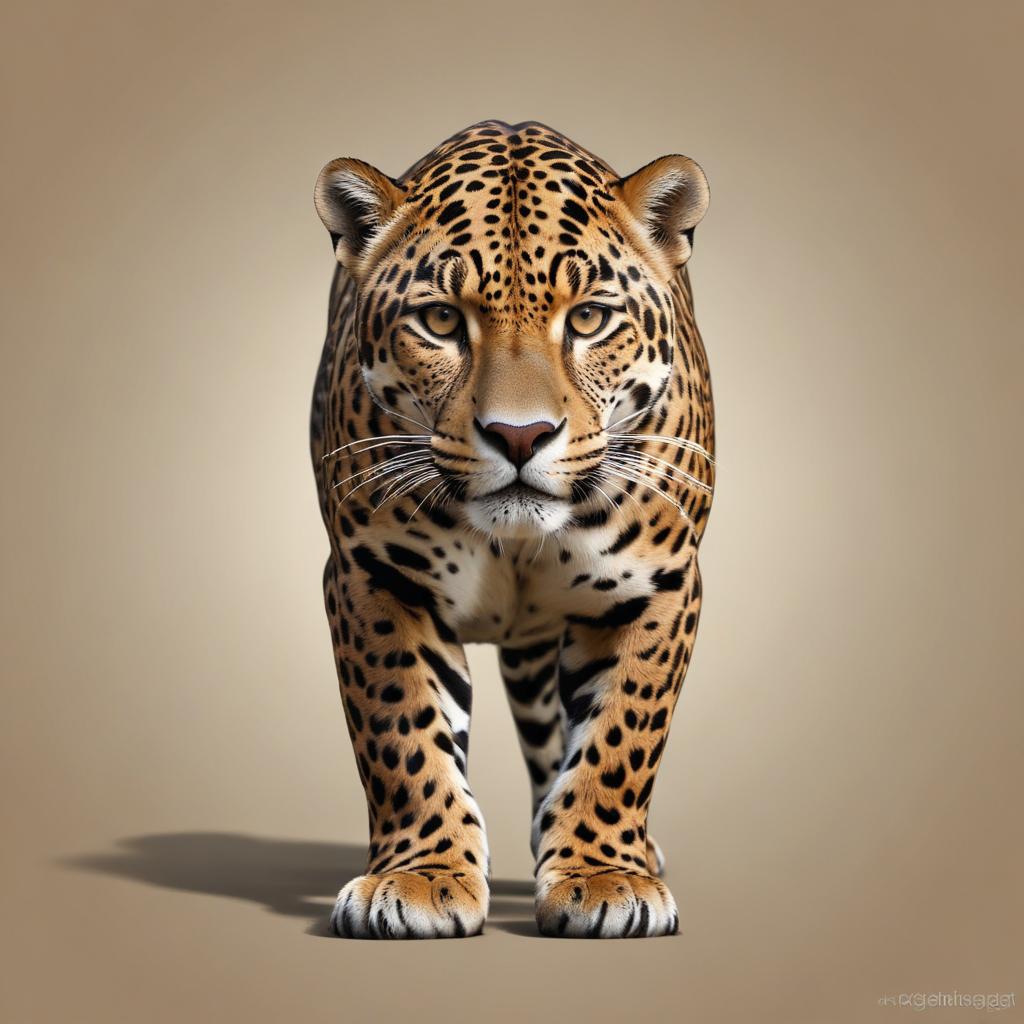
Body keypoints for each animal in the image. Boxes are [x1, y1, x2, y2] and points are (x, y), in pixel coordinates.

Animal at [310, 119, 714, 938]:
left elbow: (622, 735)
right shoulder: (372, 576)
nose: (519, 435)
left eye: (588, 318)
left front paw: (603, 876)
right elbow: (402, 732)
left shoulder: (660, 583)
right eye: (441, 321)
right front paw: (422, 877)